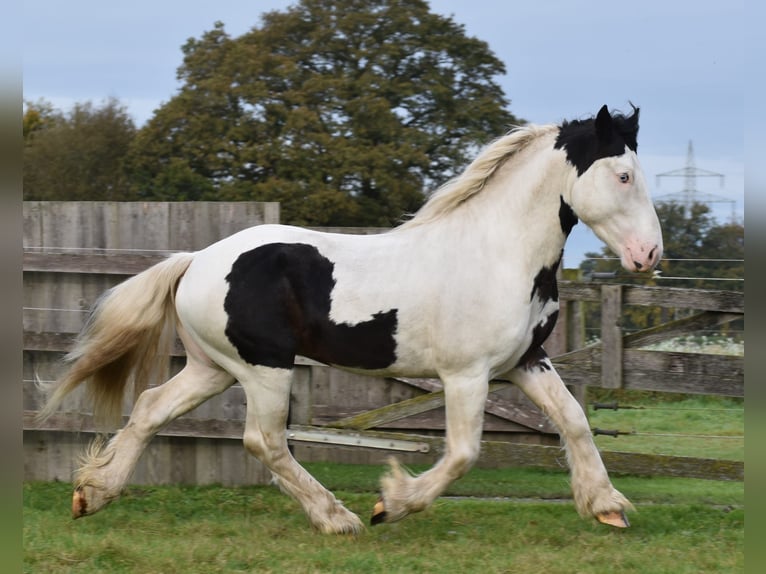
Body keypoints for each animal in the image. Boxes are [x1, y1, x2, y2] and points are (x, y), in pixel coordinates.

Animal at [40, 103, 664, 536]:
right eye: (624, 176)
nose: (649, 255)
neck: (497, 252)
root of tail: (196, 260)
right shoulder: (467, 375)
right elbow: (464, 453)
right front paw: (392, 503)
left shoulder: (526, 363)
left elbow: (575, 421)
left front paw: (607, 507)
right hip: (265, 368)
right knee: (264, 440)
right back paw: (337, 518)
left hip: (213, 367)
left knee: (150, 409)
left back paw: (91, 494)